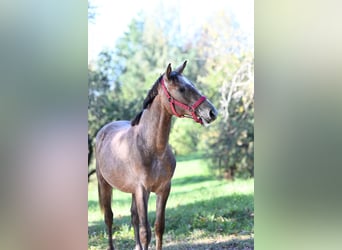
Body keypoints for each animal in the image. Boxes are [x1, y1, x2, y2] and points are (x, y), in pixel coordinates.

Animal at [95, 61, 218, 250]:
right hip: (105, 185)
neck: (152, 148)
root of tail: (103, 130)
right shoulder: (142, 190)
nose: (212, 112)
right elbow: (146, 232)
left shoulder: (164, 189)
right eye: (182, 89)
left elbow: (159, 227)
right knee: (109, 218)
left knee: (133, 216)